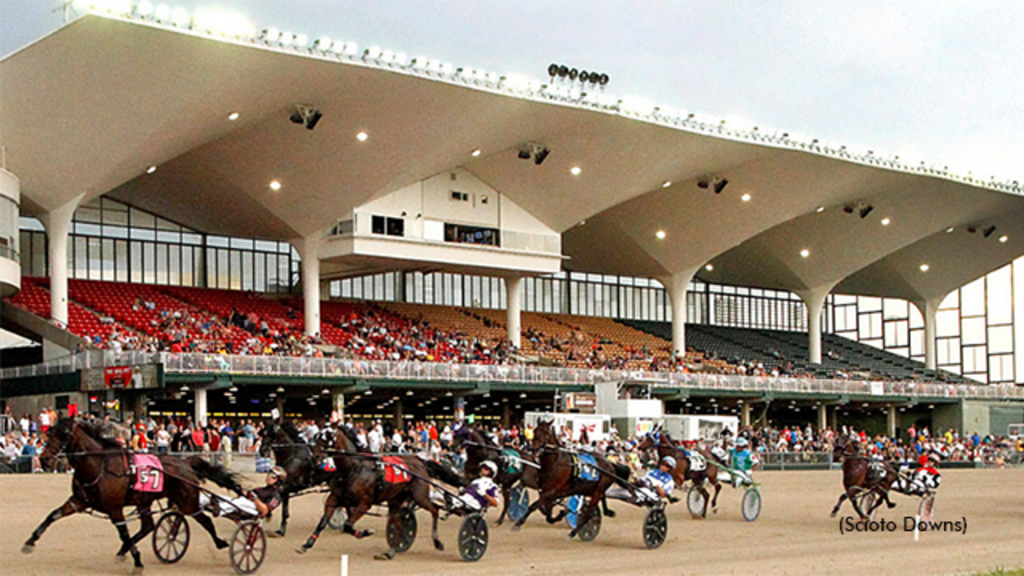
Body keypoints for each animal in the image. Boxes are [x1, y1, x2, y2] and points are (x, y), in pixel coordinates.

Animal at [24, 416, 241, 569]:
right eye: (50, 432)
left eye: (65, 433)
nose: (44, 459)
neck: (99, 466)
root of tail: (185, 463)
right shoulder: (78, 501)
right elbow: (53, 515)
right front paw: (30, 541)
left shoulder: (114, 508)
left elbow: (123, 532)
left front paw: (137, 560)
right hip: (145, 501)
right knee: (148, 527)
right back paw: (123, 551)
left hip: (187, 501)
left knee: (205, 520)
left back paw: (220, 542)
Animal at [301, 424, 450, 557]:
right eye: (317, 436)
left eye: (327, 437)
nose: (314, 456)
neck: (353, 468)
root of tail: (420, 461)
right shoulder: (334, 499)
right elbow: (323, 521)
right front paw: (308, 543)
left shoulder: (364, 504)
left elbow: (348, 525)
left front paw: (366, 532)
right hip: (396, 498)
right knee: (397, 523)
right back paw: (391, 551)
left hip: (419, 496)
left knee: (435, 510)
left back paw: (437, 542)